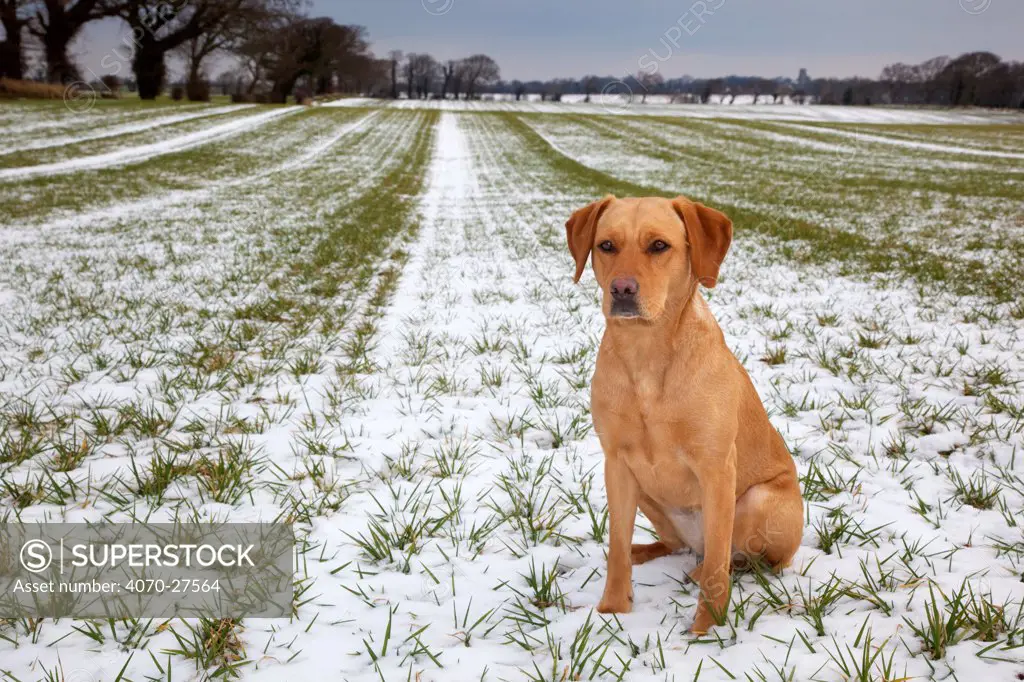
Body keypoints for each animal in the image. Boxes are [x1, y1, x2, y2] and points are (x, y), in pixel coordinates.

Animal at [569, 193, 798, 630]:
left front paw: (707, 627)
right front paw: (613, 610)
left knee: (738, 557)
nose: (622, 288)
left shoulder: (717, 467)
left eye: (659, 246)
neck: (646, 355)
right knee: (674, 545)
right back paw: (648, 551)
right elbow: (617, 544)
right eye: (606, 245)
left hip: (758, 501)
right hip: (647, 494)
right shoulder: (616, 463)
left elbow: (718, 565)